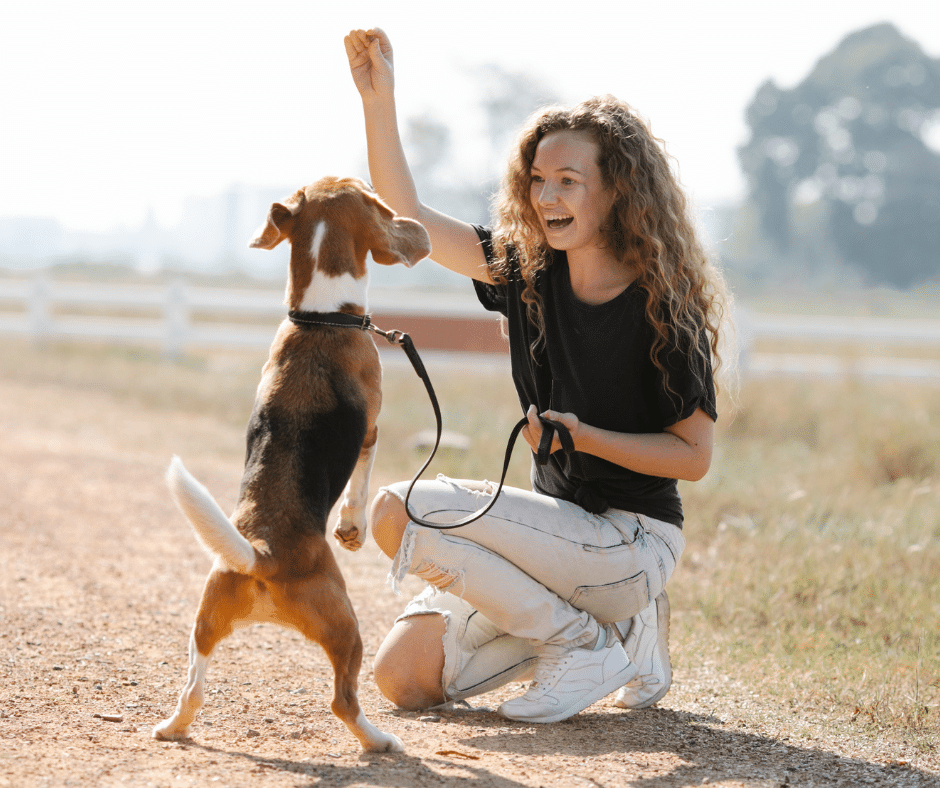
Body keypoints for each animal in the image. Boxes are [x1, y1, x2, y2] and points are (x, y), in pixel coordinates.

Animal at [152, 175, 432, 756]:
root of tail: (262, 555)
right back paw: (380, 741)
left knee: (193, 689)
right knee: (343, 701)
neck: (320, 319)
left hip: (204, 622)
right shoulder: (371, 428)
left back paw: (172, 727)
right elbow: (360, 483)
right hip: (347, 627)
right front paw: (352, 529)